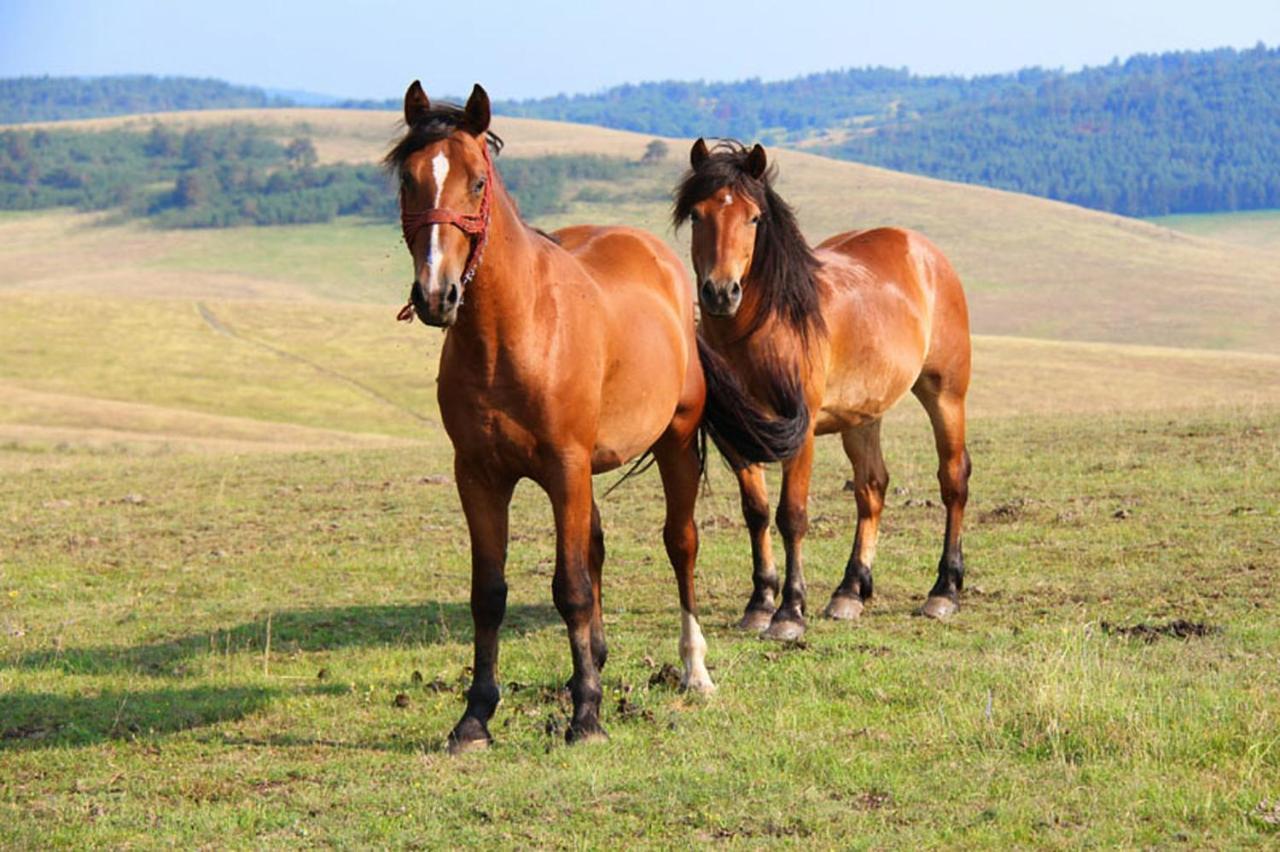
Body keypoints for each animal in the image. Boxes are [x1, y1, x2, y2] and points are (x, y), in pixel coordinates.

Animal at [384, 81, 783, 752]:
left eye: (476, 182)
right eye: (409, 180)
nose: (437, 295)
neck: (512, 332)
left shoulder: (563, 468)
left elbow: (569, 587)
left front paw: (587, 716)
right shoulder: (479, 476)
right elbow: (489, 593)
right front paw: (475, 718)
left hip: (673, 444)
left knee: (680, 544)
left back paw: (692, 670)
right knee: (594, 547)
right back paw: (593, 661)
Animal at [680, 139, 967, 634]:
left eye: (753, 218)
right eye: (697, 215)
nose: (721, 292)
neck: (763, 328)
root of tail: (926, 254)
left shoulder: (801, 431)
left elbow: (791, 515)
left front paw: (789, 613)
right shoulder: (738, 436)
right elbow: (756, 513)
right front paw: (760, 602)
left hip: (945, 394)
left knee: (953, 479)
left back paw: (943, 590)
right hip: (863, 414)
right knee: (872, 488)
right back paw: (850, 591)